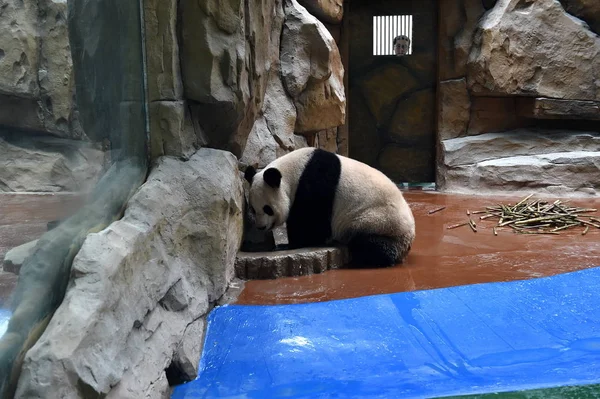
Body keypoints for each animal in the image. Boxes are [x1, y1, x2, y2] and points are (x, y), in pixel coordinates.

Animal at [241, 148, 414, 268]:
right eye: (253, 209)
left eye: (267, 209)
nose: (261, 226)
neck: (292, 173)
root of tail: (409, 237)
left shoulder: (315, 184)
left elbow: (310, 221)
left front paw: (286, 245)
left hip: (378, 221)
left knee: (369, 244)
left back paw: (369, 259)